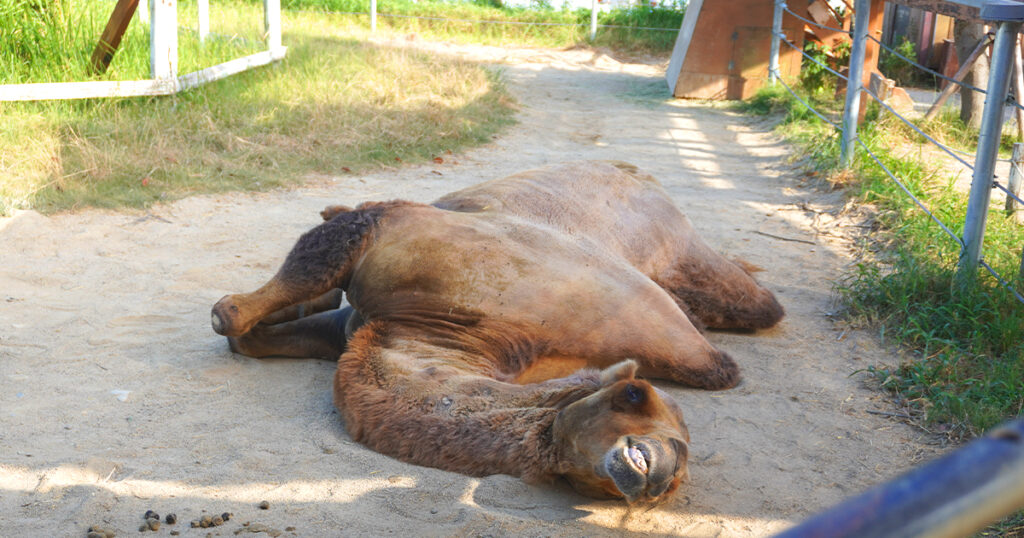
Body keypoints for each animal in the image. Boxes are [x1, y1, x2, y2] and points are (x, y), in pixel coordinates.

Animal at [209, 160, 782, 504]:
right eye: (637, 395)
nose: (662, 469)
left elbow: (248, 329)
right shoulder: (382, 239)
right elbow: (231, 317)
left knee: (757, 311)